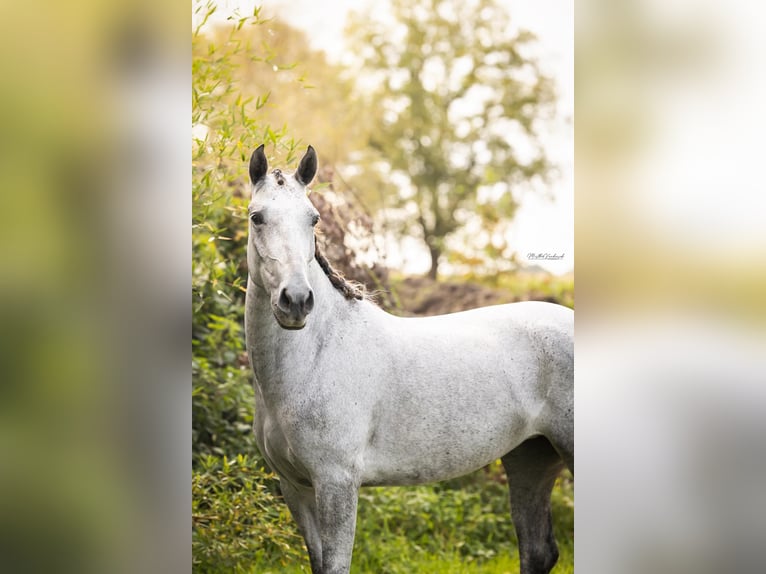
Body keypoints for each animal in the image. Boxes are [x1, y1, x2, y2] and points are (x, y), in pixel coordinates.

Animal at [243, 145, 572, 574]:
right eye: (257, 217)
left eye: (312, 218)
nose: (296, 301)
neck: (315, 358)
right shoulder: (295, 487)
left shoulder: (336, 483)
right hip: (530, 459)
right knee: (538, 551)